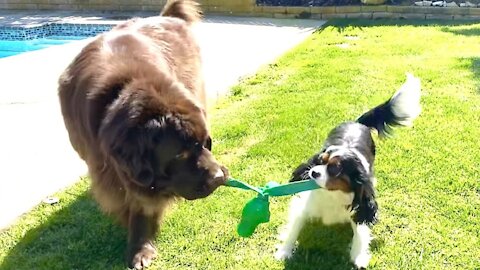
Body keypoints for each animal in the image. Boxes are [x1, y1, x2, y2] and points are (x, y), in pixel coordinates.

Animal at [57, 1, 227, 268]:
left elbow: (142, 207)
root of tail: (166, 17)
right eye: (179, 154)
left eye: (205, 144)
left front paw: (140, 247)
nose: (219, 177)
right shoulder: (105, 168)